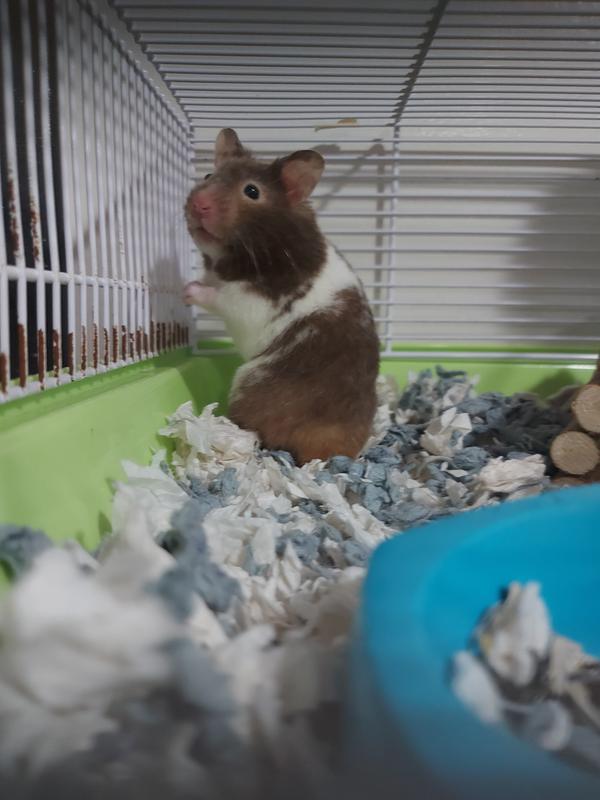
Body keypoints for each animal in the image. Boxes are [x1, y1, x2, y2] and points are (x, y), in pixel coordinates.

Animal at [183, 128, 380, 466]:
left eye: (252, 191)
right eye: (208, 175)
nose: (198, 203)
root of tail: (332, 454)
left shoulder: (251, 301)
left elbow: (218, 296)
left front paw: (186, 290)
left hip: (248, 383)